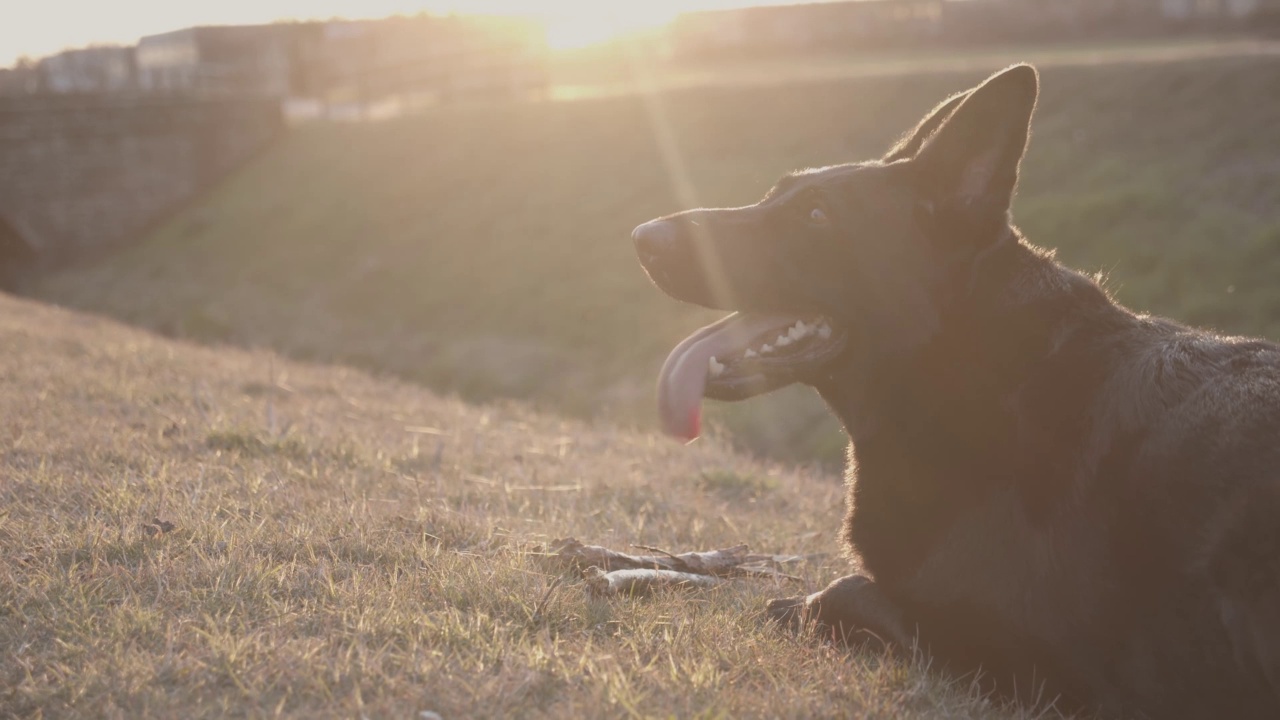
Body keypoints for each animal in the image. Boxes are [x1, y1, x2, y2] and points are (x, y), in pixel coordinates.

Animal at [627, 64, 1280, 712]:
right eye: (774, 194)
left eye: (817, 215)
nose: (643, 237)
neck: (974, 368)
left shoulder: (1040, 661)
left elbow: (839, 590)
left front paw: (792, 604)